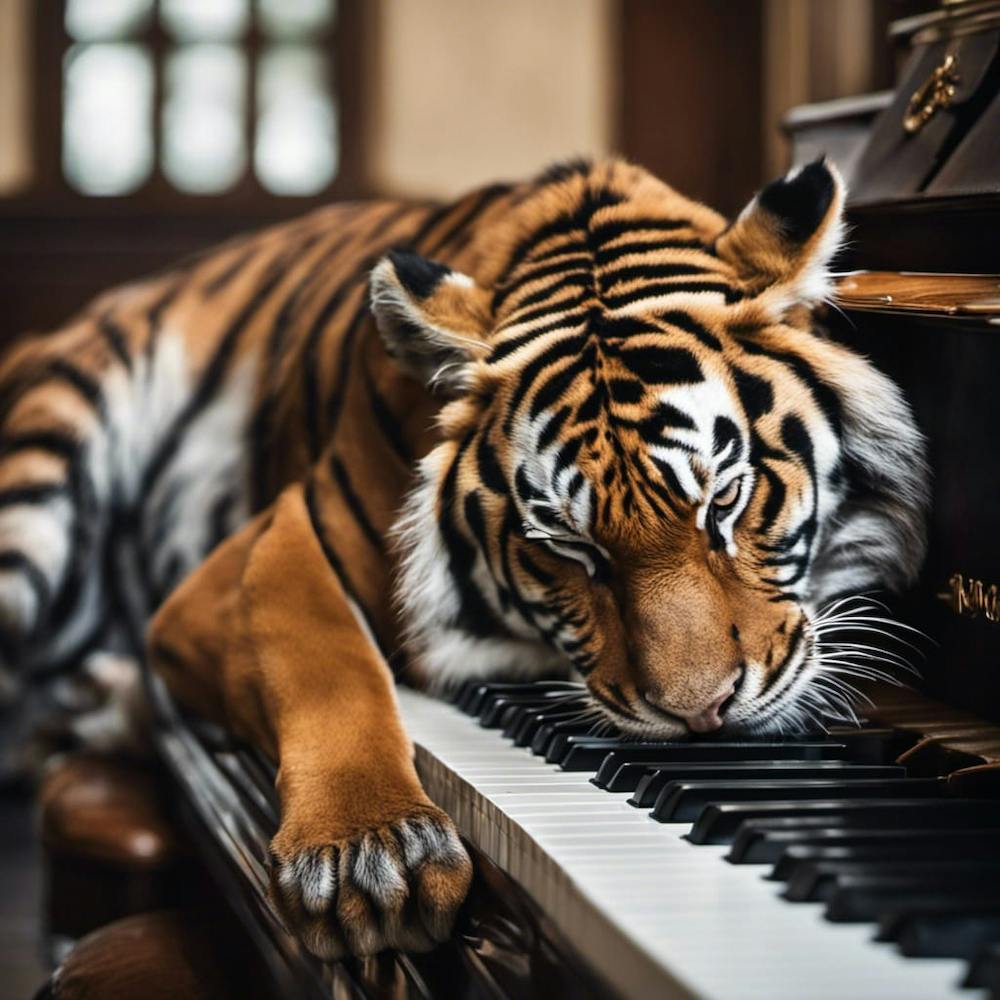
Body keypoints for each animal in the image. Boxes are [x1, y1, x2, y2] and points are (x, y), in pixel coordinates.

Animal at [0, 157, 927, 959]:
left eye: (725, 499)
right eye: (570, 547)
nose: (701, 717)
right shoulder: (259, 552)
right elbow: (322, 657)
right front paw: (368, 855)